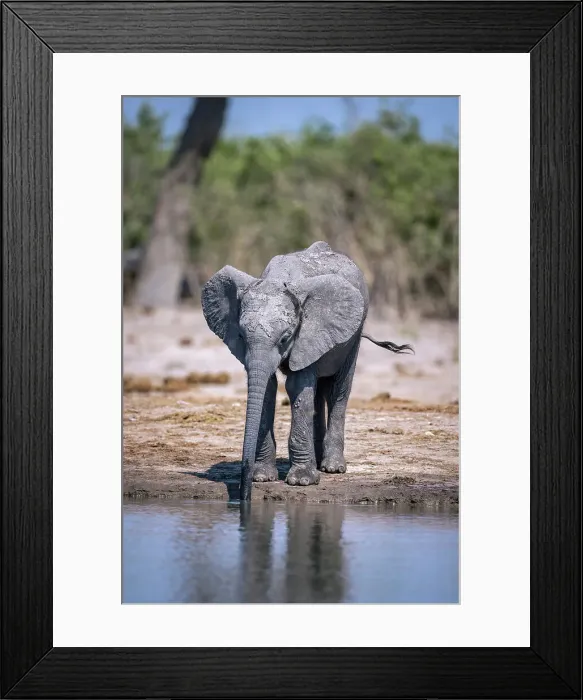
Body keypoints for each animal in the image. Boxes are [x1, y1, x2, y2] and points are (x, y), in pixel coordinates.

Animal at [201, 241, 413, 500]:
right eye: (240, 335)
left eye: (285, 338)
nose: (244, 495)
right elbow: (268, 389)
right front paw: (262, 477)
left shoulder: (309, 333)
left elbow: (297, 387)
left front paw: (302, 481)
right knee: (320, 391)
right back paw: (319, 461)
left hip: (354, 333)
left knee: (338, 391)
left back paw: (332, 467)